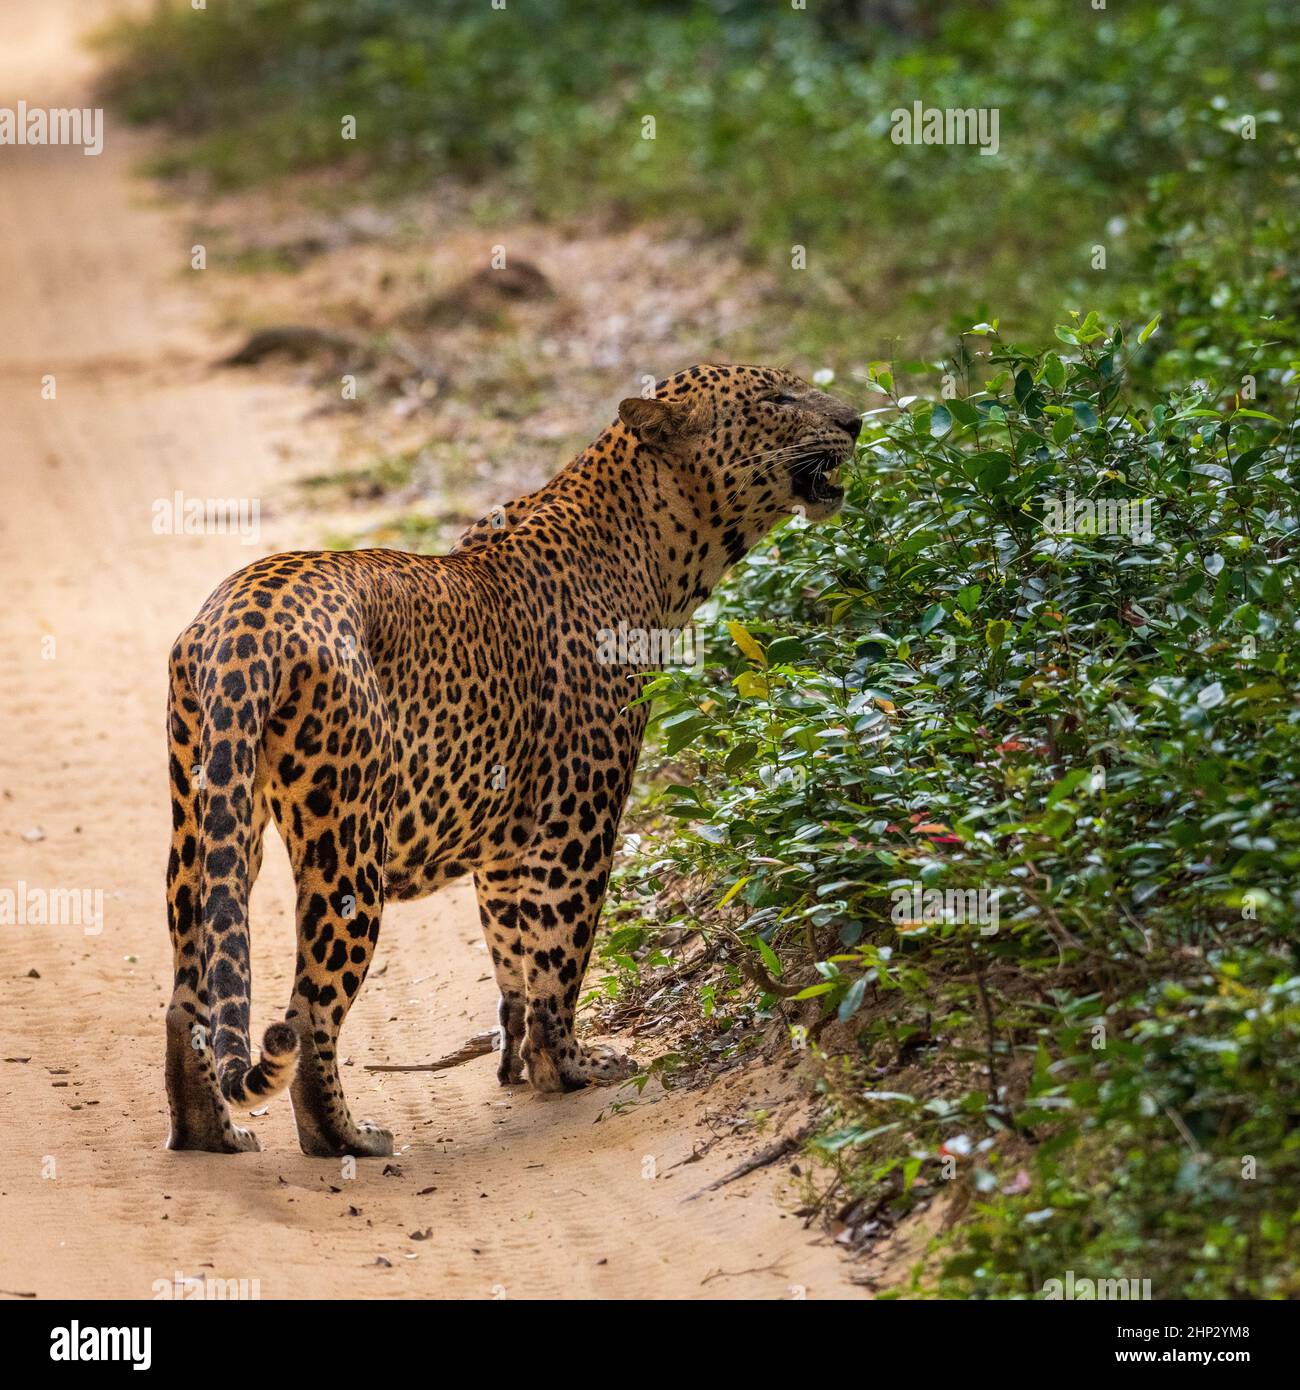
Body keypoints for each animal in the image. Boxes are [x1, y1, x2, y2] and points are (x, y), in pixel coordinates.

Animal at [162, 364, 856, 1156]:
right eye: (777, 400)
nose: (857, 421)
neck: (659, 548)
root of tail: (241, 625)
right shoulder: (578, 819)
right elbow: (560, 951)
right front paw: (571, 1066)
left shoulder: (504, 836)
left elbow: (511, 950)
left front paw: (517, 1060)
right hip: (347, 845)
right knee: (309, 1011)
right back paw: (345, 1139)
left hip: (205, 815)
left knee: (189, 993)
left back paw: (210, 1135)